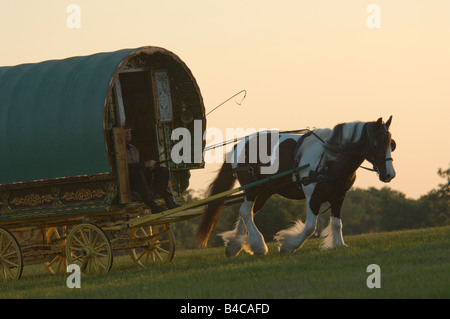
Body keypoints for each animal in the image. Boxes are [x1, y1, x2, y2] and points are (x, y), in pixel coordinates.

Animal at [197, 116, 398, 256]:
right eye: (377, 143)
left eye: (392, 144)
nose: (390, 174)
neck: (331, 159)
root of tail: (240, 144)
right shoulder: (313, 197)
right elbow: (309, 228)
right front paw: (288, 246)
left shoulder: (339, 196)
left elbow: (336, 223)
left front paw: (339, 245)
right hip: (252, 188)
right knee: (246, 212)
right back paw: (259, 246)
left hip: (264, 191)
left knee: (247, 213)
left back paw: (235, 245)